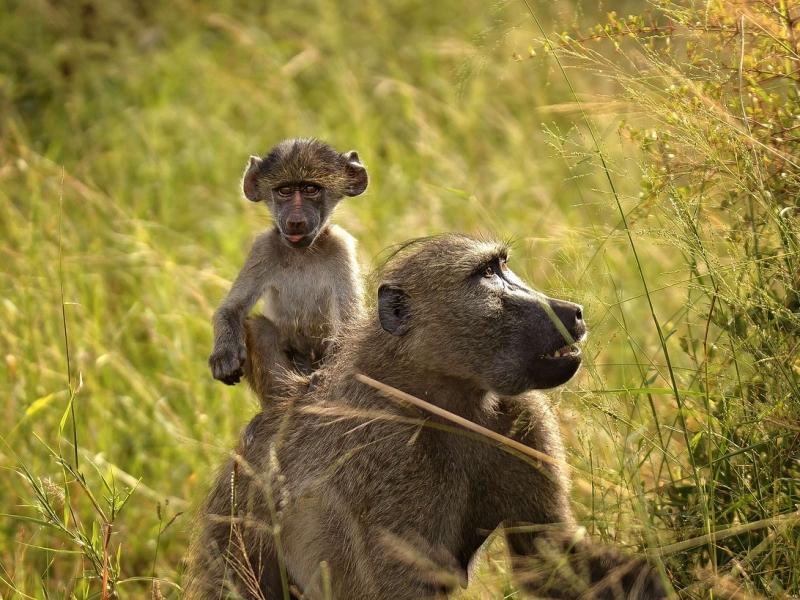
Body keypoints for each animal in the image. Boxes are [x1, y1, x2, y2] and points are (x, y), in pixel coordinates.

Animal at [187, 234, 668, 599]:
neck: (441, 399)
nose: (573, 311)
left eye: (502, 265)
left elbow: (547, 556)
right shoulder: (389, 456)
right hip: (230, 530)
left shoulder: (522, 415)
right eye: (486, 273)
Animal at [208, 138, 367, 397]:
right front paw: (224, 355)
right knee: (258, 326)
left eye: (310, 189)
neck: (302, 253)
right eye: (284, 191)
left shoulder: (341, 246)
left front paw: (325, 377)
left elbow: (349, 321)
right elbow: (232, 308)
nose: (295, 222)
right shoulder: (263, 248)